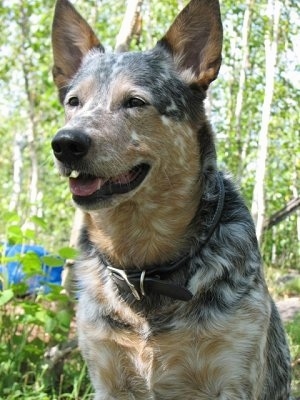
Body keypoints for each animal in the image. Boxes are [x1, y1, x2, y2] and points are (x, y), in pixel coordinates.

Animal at [50, 0, 292, 396]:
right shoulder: (107, 376)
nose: (65, 143)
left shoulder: (233, 375)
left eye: (135, 101)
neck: (145, 269)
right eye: (74, 101)